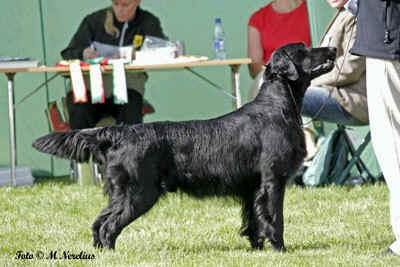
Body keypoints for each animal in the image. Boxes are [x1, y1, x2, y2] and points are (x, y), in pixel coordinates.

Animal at [32, 43, 336, 252]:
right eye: (304, 50)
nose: (333, 48)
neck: (278, 107)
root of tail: (121, 132)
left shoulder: (252, 187)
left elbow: (254, 221)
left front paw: (257, 249)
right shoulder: (273, 180)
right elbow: (275, 219)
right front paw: (280, 249)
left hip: (125, 192)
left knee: (99, 223)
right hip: (139, 192)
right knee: (108, 226)